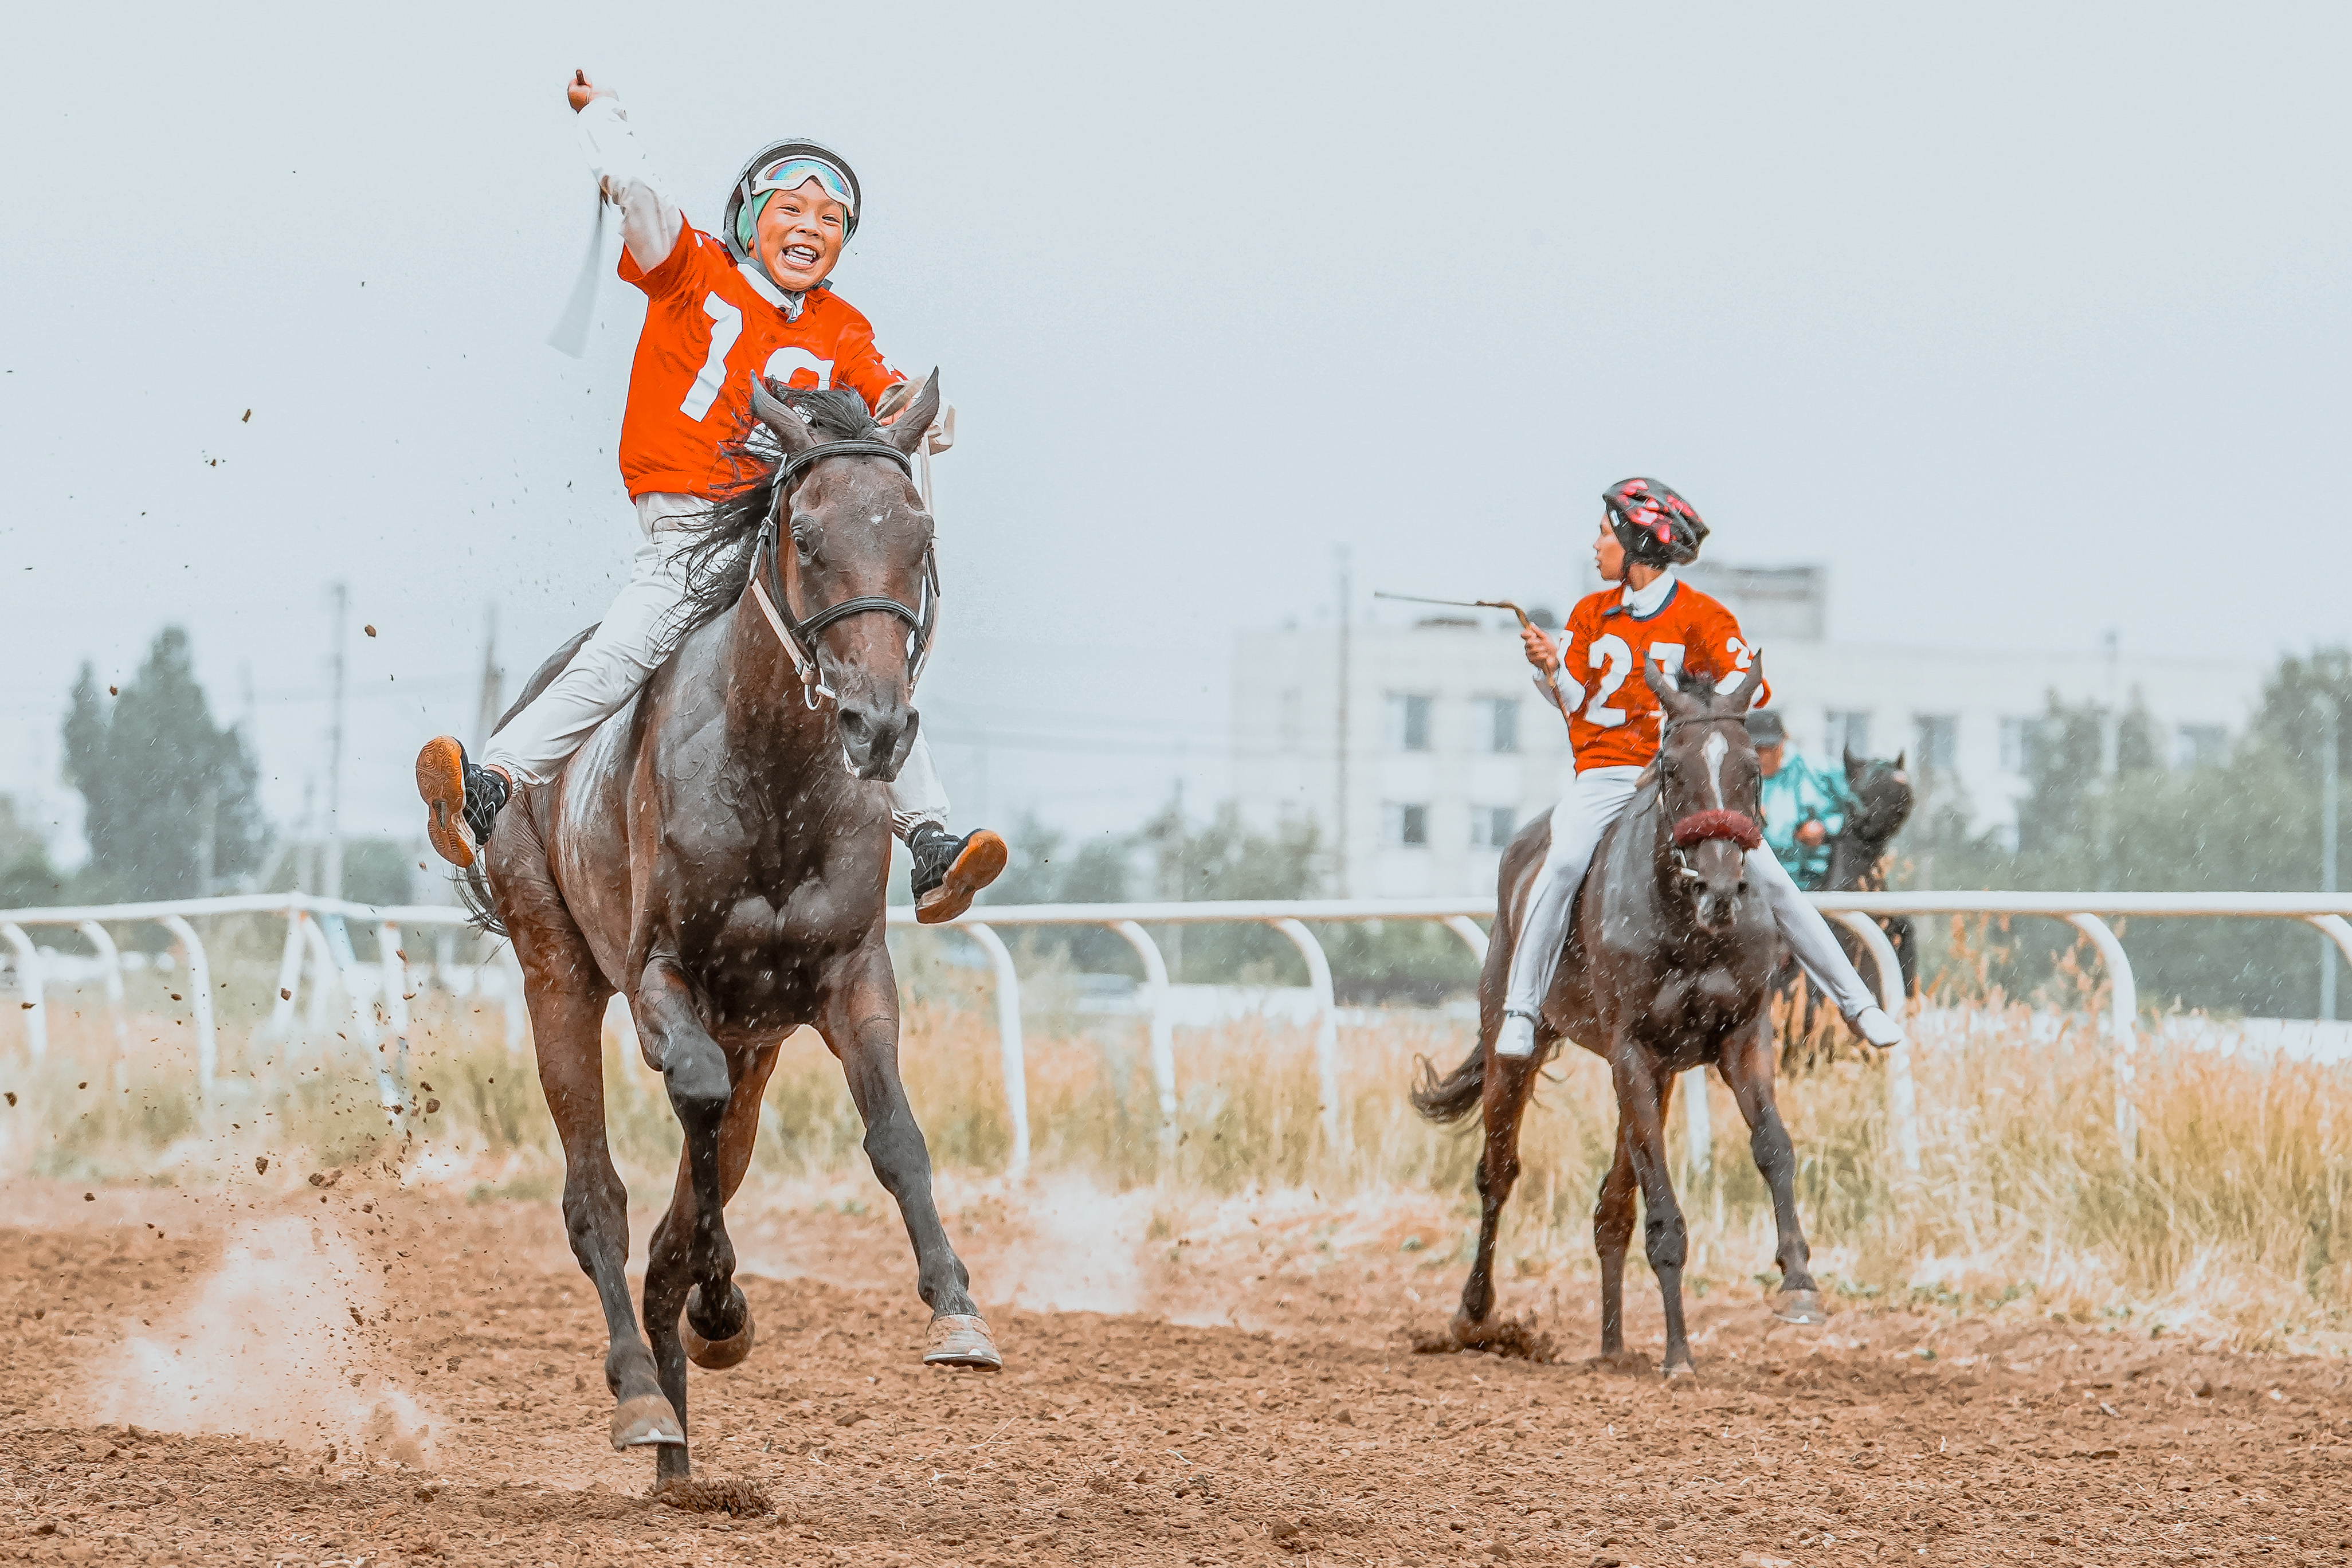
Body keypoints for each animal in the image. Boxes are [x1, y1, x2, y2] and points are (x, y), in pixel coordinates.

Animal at [472, 374, 997, 1476]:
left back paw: (680, 1448)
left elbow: (895, 1134)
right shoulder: (660, 980)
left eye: (920, 532)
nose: (878, 723)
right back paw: (642, 1394)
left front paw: (956, 1310)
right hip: (556, 971)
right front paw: (718, 1308)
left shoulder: (850, 976)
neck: (774, 778)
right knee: (598, 1199)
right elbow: (692, 1118)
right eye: (805, 534)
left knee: (686, 1197)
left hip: (758, 1036)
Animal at [1411, 658, 1816, 1382]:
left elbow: (1773, 1145)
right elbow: (1663, 1208)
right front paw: (1679, 1354)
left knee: (1612, 1206)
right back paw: (1475, 1315)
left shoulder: (1739, 1037)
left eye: (1752, 768)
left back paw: (1612, 1344)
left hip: (1663, 1074)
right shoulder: (1632, 1050)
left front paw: (1798, 1281)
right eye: (1673, 768)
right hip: (1514, 1038)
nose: (1721, 889)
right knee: (1498, 1172)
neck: (1689, 924)